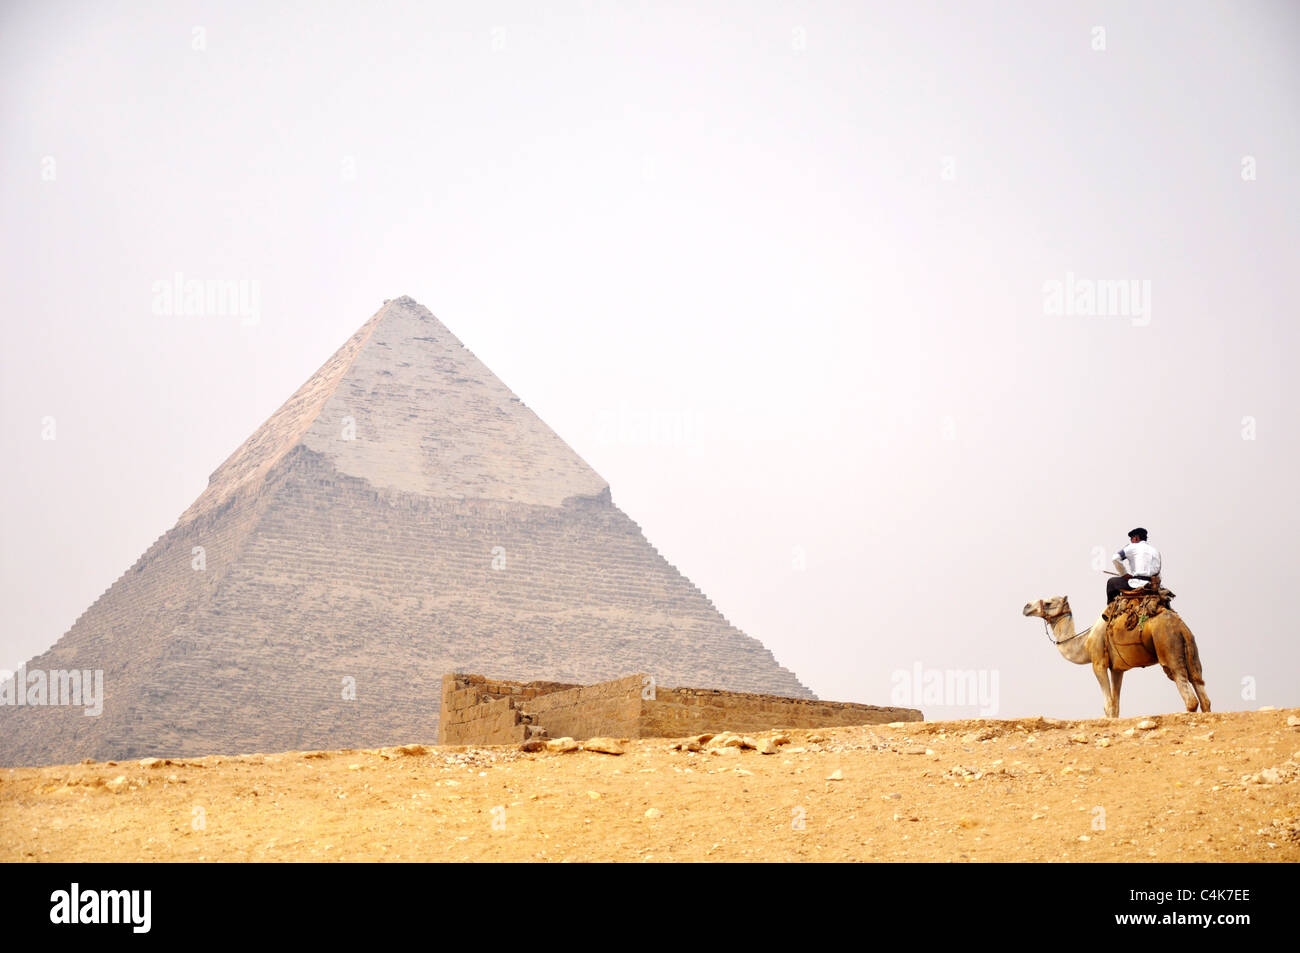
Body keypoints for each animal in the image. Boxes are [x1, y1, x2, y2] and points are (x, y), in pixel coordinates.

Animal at [1024, 590, 1206, 717]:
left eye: (1048, 602)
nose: (1026, 607)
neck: (1085, 643)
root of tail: (1181, 628)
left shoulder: (1098, 663)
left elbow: (1108, 705)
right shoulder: (1117, 669)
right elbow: (1115, 705)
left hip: (1168, 646)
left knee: (1189, 696)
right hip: (1191, 650)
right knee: (1201, 691)